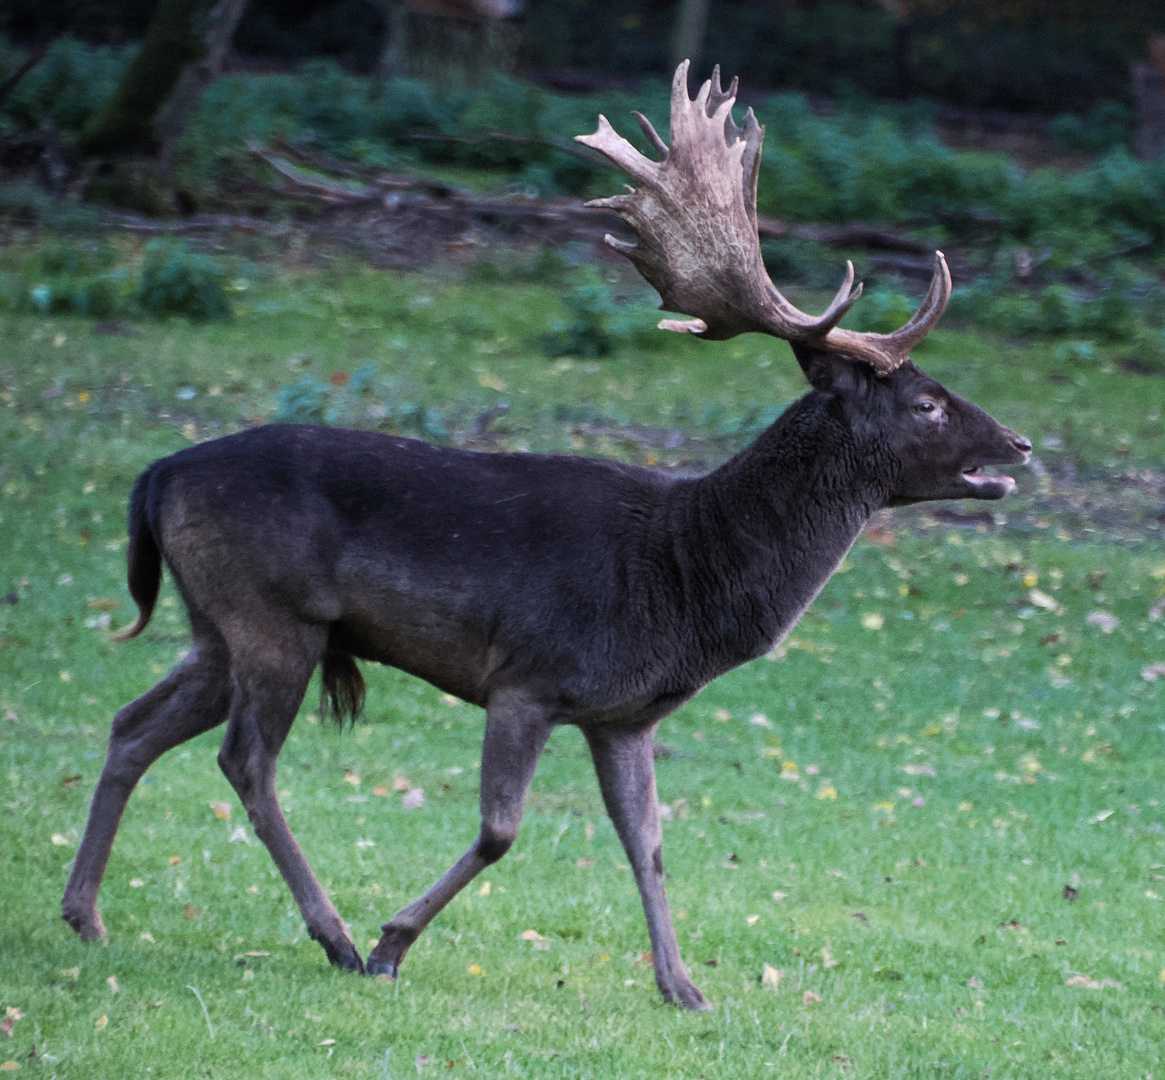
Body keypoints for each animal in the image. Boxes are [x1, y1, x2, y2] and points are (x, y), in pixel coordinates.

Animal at [63, 65, 1029, 1015]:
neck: (683, 577)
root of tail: (159, 472)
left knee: (133, 724)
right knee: (246, 761)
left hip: (214, 622)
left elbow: (648, 843)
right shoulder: (525, 676)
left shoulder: (623, 714)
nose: (1017, 446)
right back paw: (332, 936)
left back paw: (86, 915)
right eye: (927, 402)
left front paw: (683, 987)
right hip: (274, 616)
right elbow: (500, 830)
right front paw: (390, 945)